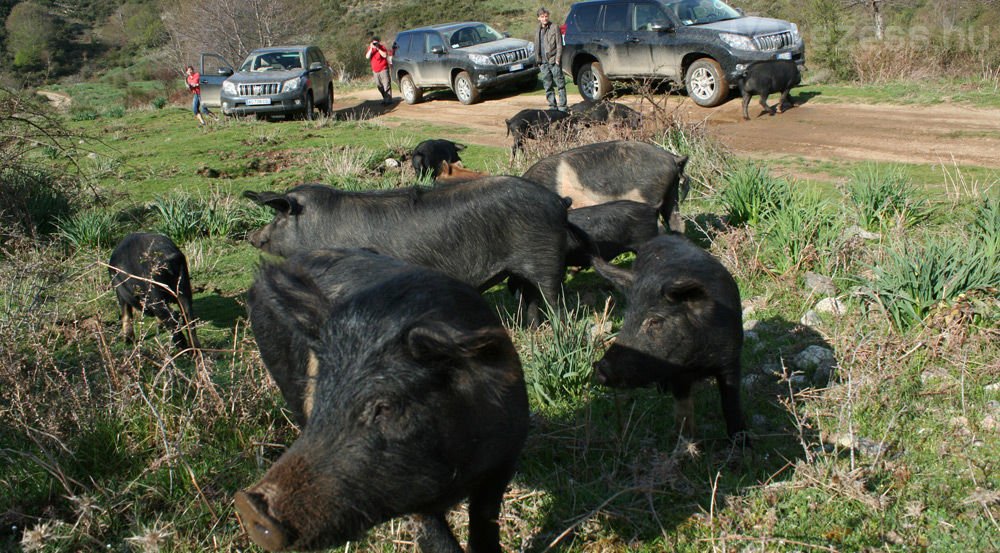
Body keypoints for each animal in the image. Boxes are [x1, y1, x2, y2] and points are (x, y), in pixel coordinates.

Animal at [243, 177, 580, 324]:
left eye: (278, 216)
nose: (252, 236)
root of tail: (558, 201)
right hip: (521, 269)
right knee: (531, 299)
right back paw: (531, 329)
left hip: (546, 259)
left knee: (554, 299)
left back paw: (559, 331)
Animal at [588, 235, 748, 442]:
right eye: (627, 317)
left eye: (655, 321)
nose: (599, 369)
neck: (699, 362)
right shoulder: (677, 373)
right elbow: (684, 410)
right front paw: (687, 442)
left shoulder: (731, 358)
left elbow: (731, 404)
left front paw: (742, 443)